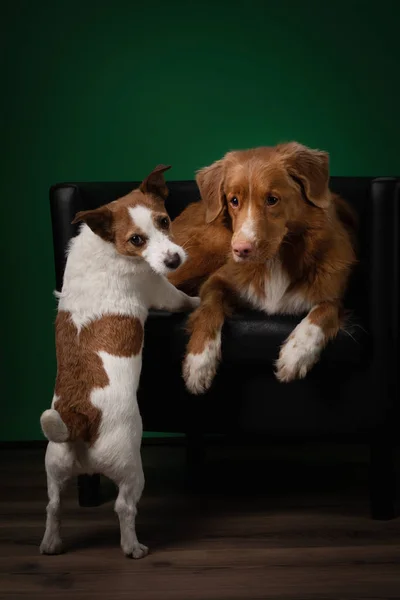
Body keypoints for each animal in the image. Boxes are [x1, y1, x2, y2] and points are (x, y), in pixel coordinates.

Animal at [39, 165, 199, 556]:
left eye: (165, 221)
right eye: (136, 240)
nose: (173, 260)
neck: (108, 245)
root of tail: (80, 419)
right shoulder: (160, 289)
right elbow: (181, 298)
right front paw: (199, 300)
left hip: (54, 466)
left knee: (53, 506)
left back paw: (51, 542)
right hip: (129, 467)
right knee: (124, 507)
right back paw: (133, 546)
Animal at [169, 141, 356, 394]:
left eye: (272, 199)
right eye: (234, 200)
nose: (240, 250)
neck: (275, 261)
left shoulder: (334, 292)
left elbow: (324, 311)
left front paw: (296, 354)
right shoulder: (217, 280)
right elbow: (208, 309)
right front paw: (199, 362)